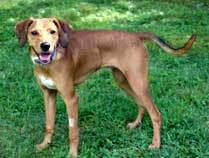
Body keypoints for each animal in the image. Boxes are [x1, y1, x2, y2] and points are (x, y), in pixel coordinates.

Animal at [15, 17, 197, 157]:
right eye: (34, 33)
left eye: (53, 32)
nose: (45, 46)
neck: (49, 63)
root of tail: (135, 35)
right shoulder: (48, 95)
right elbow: (49, 124)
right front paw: (45, 145)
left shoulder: (71, 98)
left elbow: (73, 131)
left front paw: (72, 153)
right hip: (124, 81)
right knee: (142, 105)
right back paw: (135, 124)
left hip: (138, 82)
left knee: (156, 114)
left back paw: (156, 144)